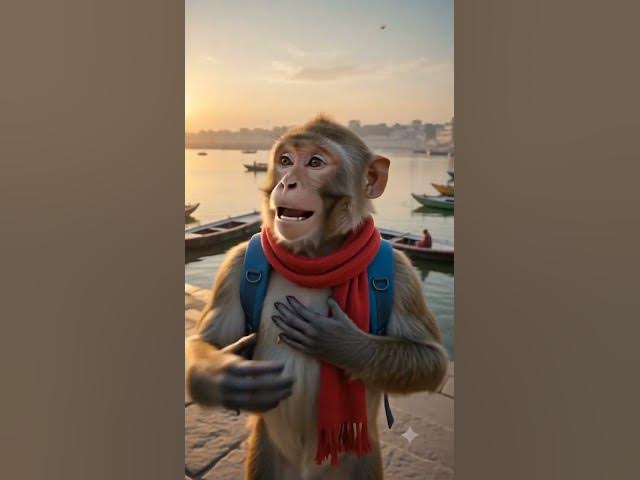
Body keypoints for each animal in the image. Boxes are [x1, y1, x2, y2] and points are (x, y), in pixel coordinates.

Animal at [185, 114, 448, 479]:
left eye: (314, 163)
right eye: (285, 161)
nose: (288, 183)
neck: (314, 258)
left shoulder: (401, 271)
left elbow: (430, 360)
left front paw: (336, 340)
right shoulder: (236, 263)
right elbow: (207, 341)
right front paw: (230, 376)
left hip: (362, 461)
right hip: (266, 453)